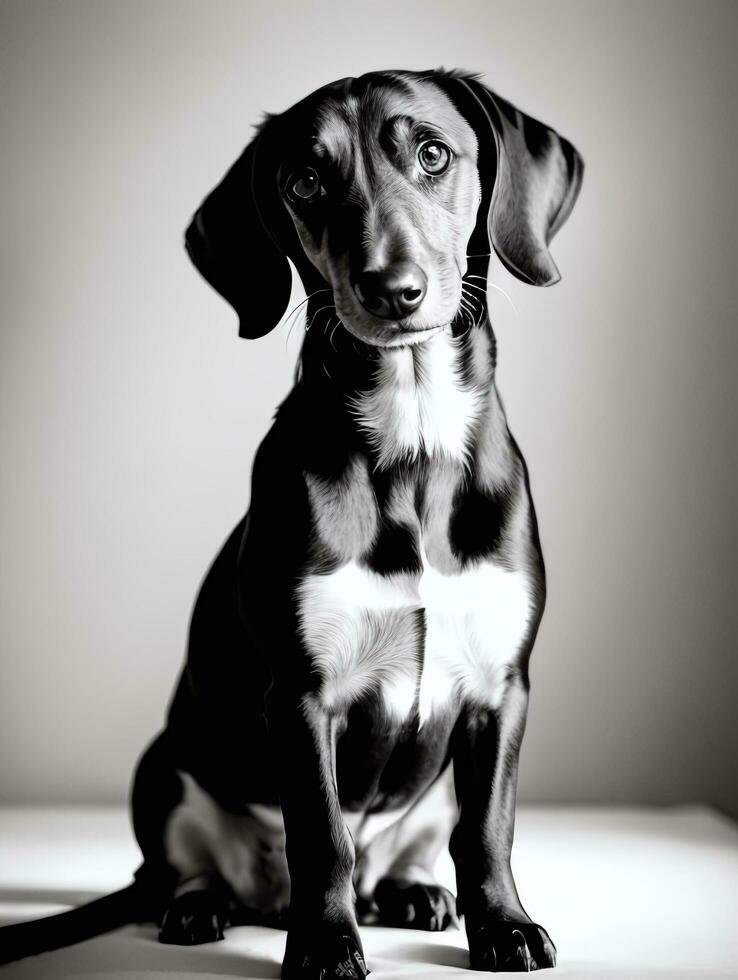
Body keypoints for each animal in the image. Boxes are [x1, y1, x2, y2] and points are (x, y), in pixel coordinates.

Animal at [2, 67, 584, 972]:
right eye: (306, 181)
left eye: (433, 154)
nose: (392, 289)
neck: (414, 445)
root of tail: (261, 900)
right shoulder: (302, 692)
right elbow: (321, 835)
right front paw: (325, 944)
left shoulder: (501, 687)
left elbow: (489, 827)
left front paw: (504, 925)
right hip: (164, 768)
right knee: (184, 866)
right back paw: (202, 905)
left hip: (426, 787)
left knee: (412, 845)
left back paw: (411, 891)